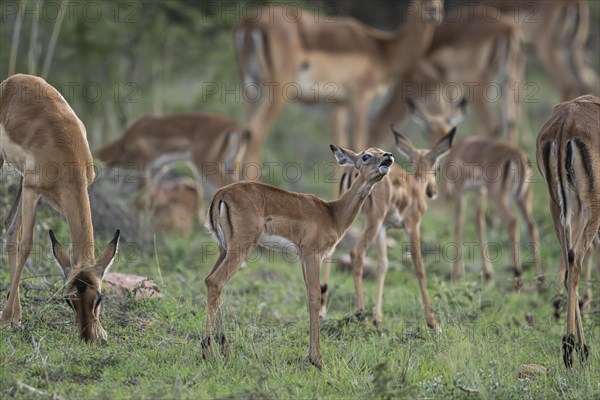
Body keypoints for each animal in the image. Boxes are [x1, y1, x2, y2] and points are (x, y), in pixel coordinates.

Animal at [0, 73, 119, 340]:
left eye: (99, 298)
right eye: (68, 299)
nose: (87, 337)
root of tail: (11, 80)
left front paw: (102, 331)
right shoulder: (33, 192)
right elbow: (26, 245)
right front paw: (5, 318)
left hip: (21, 180)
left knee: (9, 228)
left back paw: (16, 315)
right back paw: (11, 316)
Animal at [204, 144, 396, 368]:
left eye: (381, 150)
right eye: (366, 156)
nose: (388, 157)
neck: (333, 214)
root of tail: (221, 194)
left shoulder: (303, 258)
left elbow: (309, 296)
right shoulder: (312, 255)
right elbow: (315, 297)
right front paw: (317, 359)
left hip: (223, 249)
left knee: (210, 281)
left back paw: (219, 350)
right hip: (241, 247)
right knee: (216, 282)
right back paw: (212, 351)